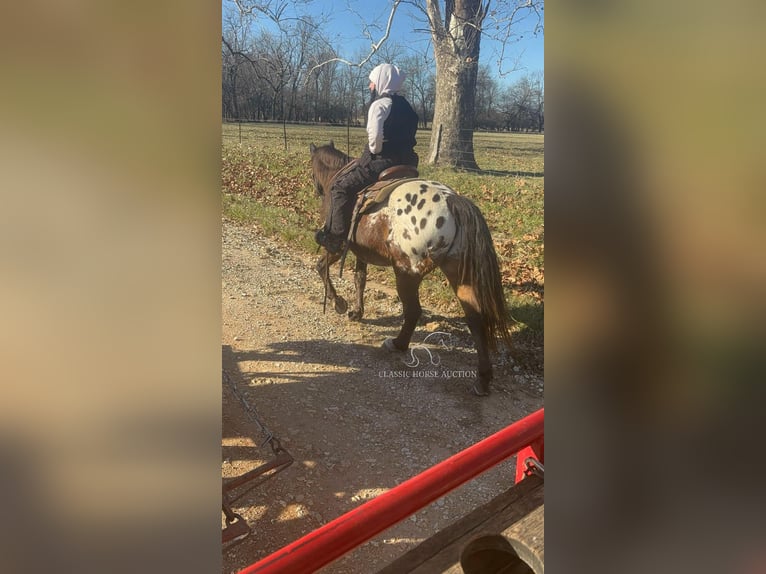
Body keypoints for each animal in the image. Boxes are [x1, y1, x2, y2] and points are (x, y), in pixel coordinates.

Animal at [308, 142, 512, 398]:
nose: (316, 189)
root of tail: (453, 201)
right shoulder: (361, 251)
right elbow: (359, 278)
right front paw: (356, 311)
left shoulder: (337, 245)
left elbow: (321, 267)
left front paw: (339, 304)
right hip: (459, 274)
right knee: (475, 318)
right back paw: (482, 380)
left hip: (406, 273)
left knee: (414, 311)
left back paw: (398, 344)